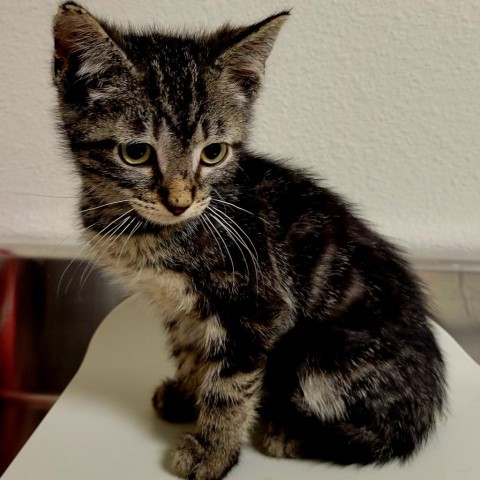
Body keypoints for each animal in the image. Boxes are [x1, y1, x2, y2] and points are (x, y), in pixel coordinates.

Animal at [52, 3, 446, 480]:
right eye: (136, 153)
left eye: (213, 152)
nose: (180, 202)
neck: (146, 230)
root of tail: (427, 398)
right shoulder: (179, 305)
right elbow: (191, 349)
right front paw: (186, 394)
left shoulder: (259, 309)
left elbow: (230, 385)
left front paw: (213, 451)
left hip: (317, 354)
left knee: (379, 431)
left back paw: (288, 431)